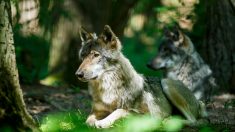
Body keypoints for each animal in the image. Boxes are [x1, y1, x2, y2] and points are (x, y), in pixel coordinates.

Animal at [75, 24, 206, 128]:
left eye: (96, 55)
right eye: (83, 56)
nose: (78, 74)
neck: (109, 88)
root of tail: (199, 103)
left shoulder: (147, 115)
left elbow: (121, 110)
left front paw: (103, 122)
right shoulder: (96, 111)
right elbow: (87, 121)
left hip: (166, 83)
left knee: (194, 121)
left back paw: (168, 121)